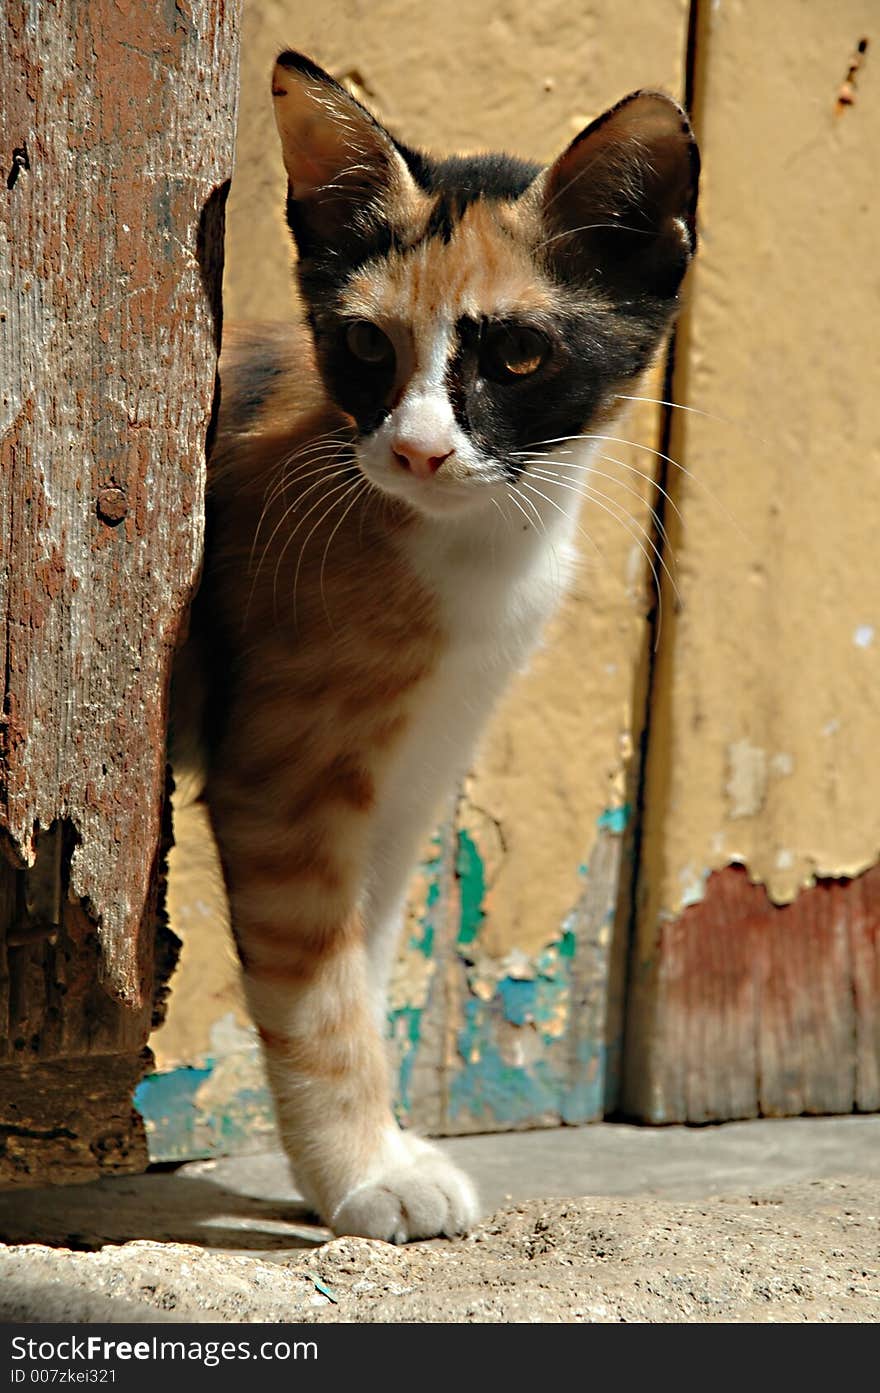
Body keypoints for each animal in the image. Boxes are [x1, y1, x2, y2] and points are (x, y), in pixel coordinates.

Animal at [175, 49, 698, 1242]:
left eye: (519, 353)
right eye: (367, 343)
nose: (415, 449)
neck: (480, 553)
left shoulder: (412, 774)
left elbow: (365, 961)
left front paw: (368, 1153)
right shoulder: (284, 786)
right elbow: (317, 991)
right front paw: (362, 1170)